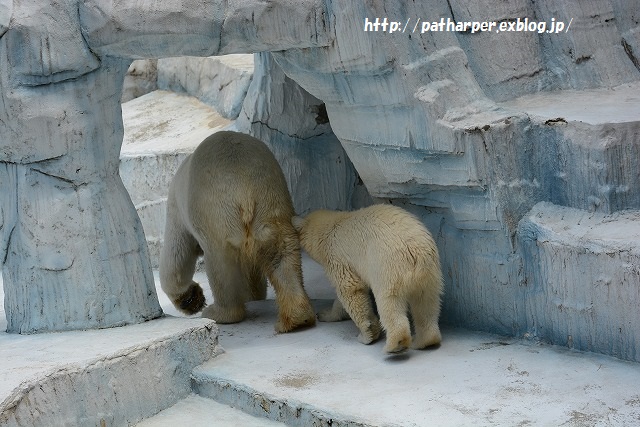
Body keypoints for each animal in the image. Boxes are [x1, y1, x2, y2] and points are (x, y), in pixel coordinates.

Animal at [161, 131, 316, 334]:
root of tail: (243, 187)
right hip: (271, 204)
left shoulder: (177, 208)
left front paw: (189, 300)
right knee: (281, 252)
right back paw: (297, 318)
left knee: (220, 261)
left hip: (215, 213)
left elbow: (177, 253)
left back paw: (219, 313)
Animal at [292, 205, 442, 354]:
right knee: (426, 304)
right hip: (430, 274)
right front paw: (325, 314)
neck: (333, 226)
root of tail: (417, 253)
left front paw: (367, 334)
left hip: (388, 267)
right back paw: (424, 341)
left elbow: (350, 289)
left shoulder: (337, 257)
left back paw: (395, 344)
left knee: (389, 302)